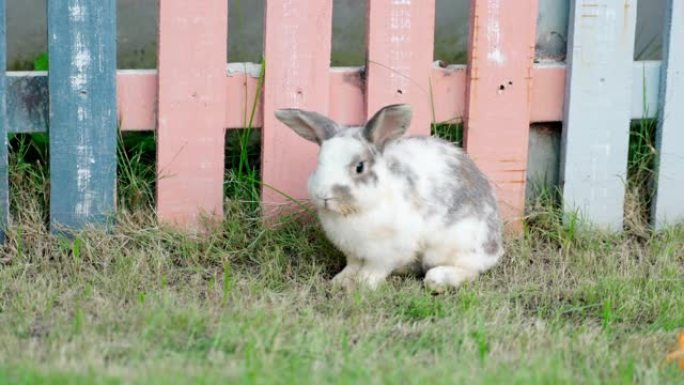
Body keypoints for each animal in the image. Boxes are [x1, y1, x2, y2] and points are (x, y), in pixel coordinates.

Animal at [274, 104, 502, 292]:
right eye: (319, 161)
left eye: (359, 167)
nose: (324, 195)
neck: (356, 212)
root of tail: (496, 247)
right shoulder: (353, 252)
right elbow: (352, 266)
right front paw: (340, 281)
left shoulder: (388, 252)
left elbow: (375, 269)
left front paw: (364, 284)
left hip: (453, 248)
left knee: (471, 270)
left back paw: (438, 279)